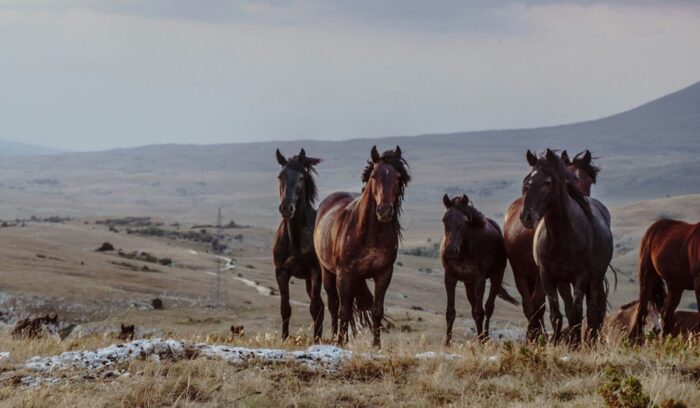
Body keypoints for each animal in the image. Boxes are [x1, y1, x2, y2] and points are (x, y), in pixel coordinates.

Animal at [272, 148, 324, 341]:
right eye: (280, 176)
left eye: (301, 177)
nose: (287, 208)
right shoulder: (281, 272)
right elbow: (285, 308)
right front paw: (284, 338)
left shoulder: (316, 271)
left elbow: (314, 307)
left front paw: (317, 341)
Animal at [314, 146, 410, 347]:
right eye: (373, 175)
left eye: (398, 177)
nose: (384, 211)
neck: (369, 234)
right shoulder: (344, 274)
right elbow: (343, 311)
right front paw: (340, 342)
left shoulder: (384, 273)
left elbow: (377, 311)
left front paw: (376, 345)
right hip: (327, 272)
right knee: (334, 305)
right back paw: (335, 337)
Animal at [441, 194, 519, 345]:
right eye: (444, 219)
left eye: (465, 221)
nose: (451, 250)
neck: (465, 250)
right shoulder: (450, 279)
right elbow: (450, 312)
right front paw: (447, 343)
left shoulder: (480, 281)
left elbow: (479, 312)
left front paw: (482, 342)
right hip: (468, 284)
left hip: (496, 278)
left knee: (488, 309)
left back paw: (486, 338)